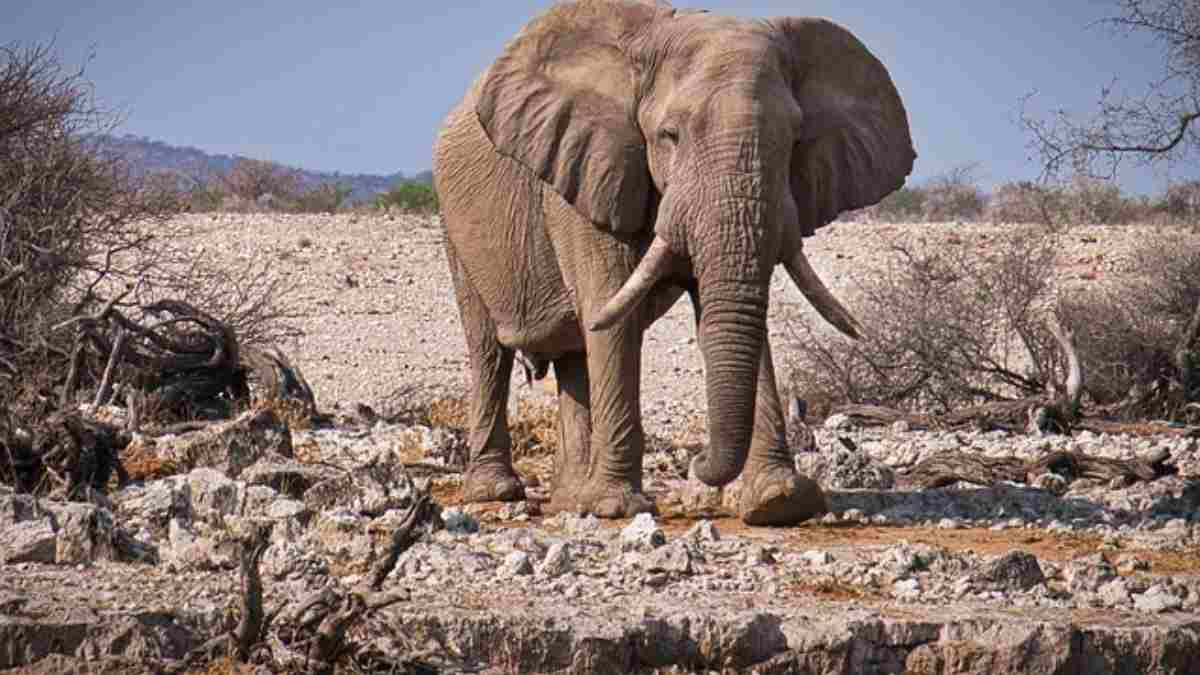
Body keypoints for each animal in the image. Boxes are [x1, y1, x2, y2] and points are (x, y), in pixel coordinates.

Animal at [436, 0, 912, 523]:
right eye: (670, 135)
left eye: (792, 141)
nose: (699, 463)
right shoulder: (588, 169)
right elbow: (611, 313)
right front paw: (617, 508)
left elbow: (726, 313)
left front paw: (780, 501)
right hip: (455, 227)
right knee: (489, 350)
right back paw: (498, 492)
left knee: (575, 356)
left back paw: (569, 499)